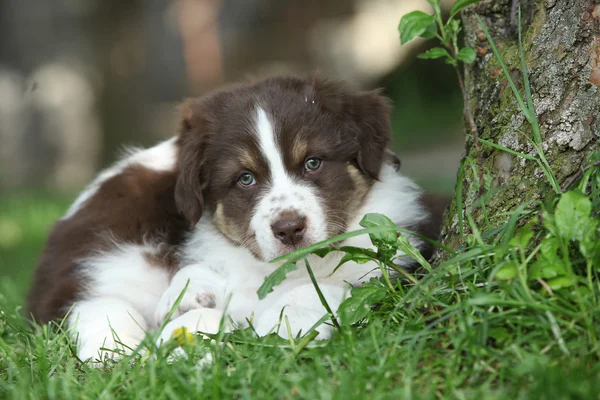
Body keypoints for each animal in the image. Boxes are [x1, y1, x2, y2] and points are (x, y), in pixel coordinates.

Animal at [25, 75, 434, 362]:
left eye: (313, 163)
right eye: (245, 179)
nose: (289, 228)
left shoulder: (395, 264)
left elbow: (333, 284)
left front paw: (286, 322)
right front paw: (189, 298)